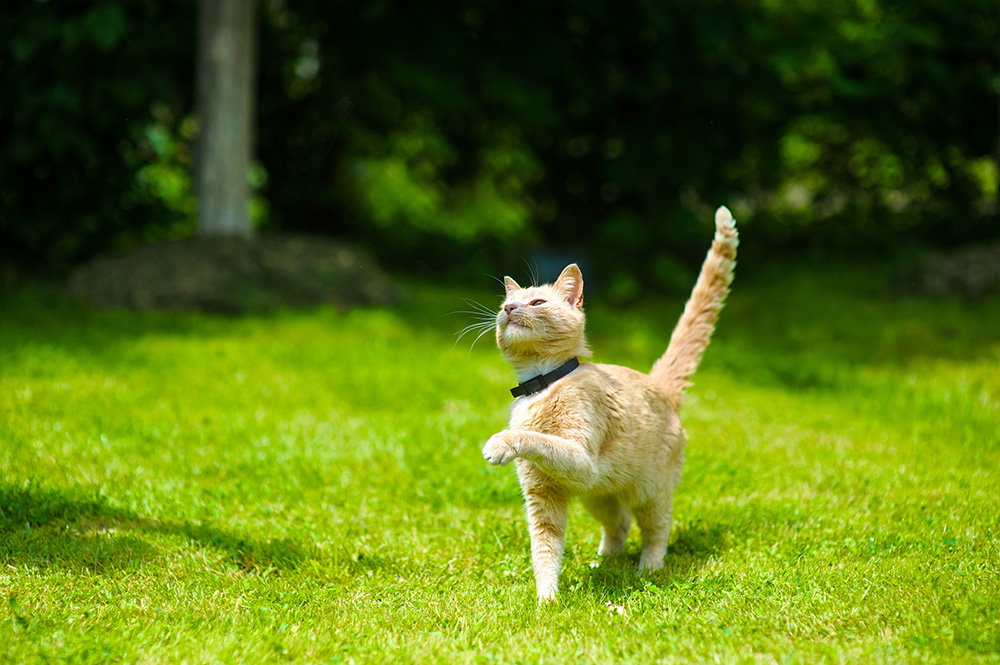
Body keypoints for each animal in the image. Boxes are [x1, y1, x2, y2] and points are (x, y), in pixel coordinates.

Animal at [480, 205, 740, 600]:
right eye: (504, 304)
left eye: (537, 302)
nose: (509, 308)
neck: (542, 384)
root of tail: (660, 385)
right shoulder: (544, 494)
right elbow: (545, 548)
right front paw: (546, 599)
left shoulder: (580, 458)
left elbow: (536, 439)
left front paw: (500, 443)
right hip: (597, 496)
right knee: (619, 523)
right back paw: (603, 562)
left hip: (649, 492)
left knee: (656, 529)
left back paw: (648, 569)